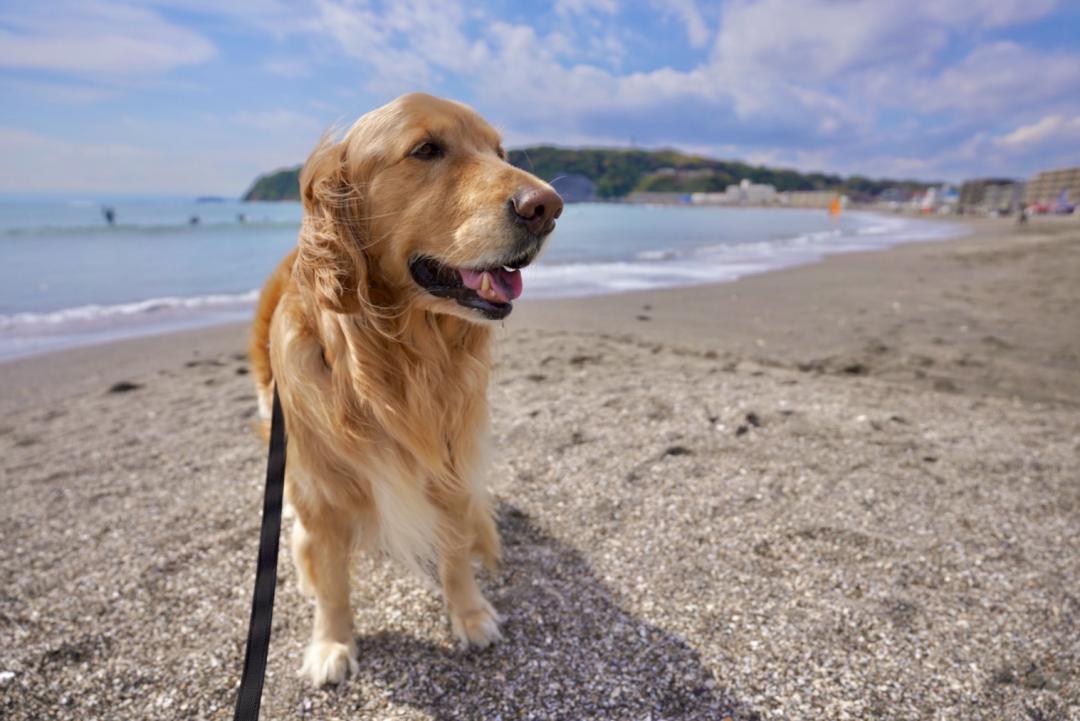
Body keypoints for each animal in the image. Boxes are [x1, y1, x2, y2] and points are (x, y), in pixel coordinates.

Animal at [247, 92, 561, 686]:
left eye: (500, 152)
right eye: (426, 150)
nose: (548, 207)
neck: (396, 362)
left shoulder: (450, 468)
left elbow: (455, 552)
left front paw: (470, 613)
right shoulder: (320, 493)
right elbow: (332, 584)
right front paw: (331, 643)